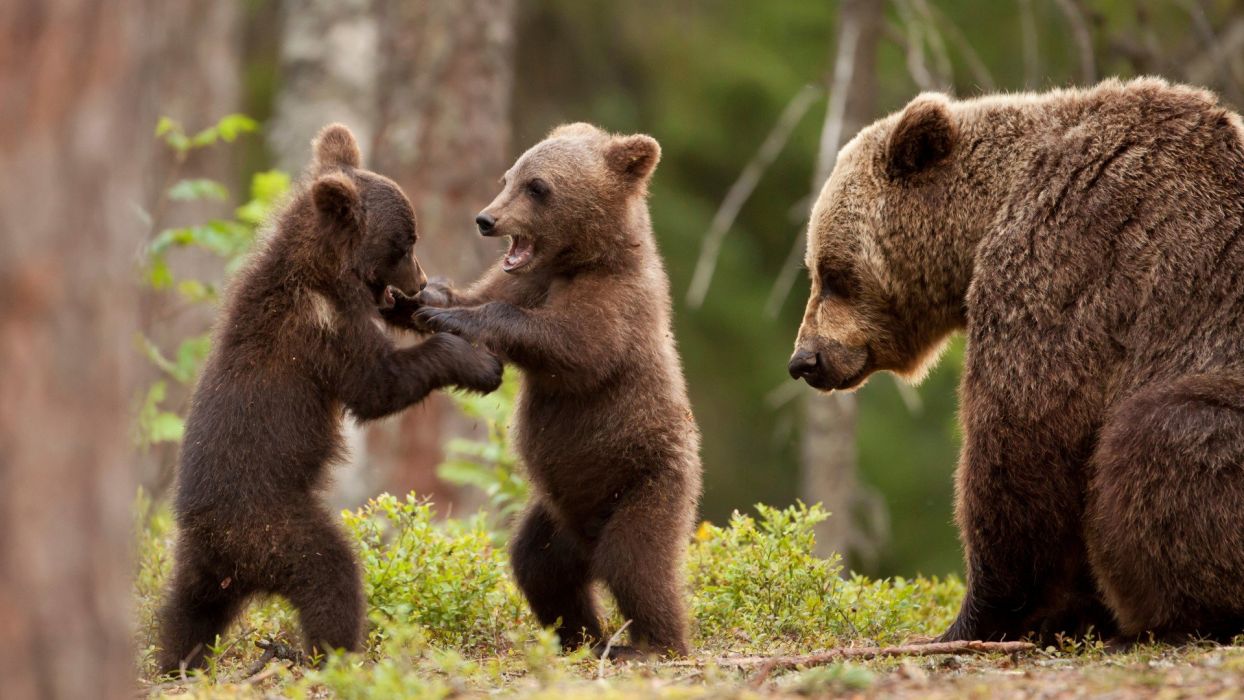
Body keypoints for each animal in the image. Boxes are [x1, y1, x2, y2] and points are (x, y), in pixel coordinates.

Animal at [156, 123, 503, 674]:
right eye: (405, 242)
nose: (421, 279)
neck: (324, 272)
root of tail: (220, 547)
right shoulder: (322, 332)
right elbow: (377, 386)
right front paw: (477, 362)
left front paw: (437, 308)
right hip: (273, 526)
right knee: (330, 574)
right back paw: (333, 652)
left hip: (202, 566)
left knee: (186, 611)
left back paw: (176, 661)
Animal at [404, 123, 702, 657]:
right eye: (507, 176)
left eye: (538, 187)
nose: (486, 219)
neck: (582, 260)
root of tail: (586, 539)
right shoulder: (529, 279)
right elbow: (484, 294)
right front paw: (429, 296)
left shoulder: (617, 305)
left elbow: (573, 347)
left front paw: (453, 317)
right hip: (556, 515)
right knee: (538, 565)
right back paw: (581, 636)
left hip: (647, 482)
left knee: (637, 563)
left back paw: (653, 643)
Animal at [787, 77, 1244, 644]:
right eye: (816, 269)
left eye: (832, 273)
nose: (804, 359)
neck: (986, 216)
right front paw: (1069, 613)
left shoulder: (1068, 259)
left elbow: (1023, 438)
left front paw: (974, 619)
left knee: (1159, 433)